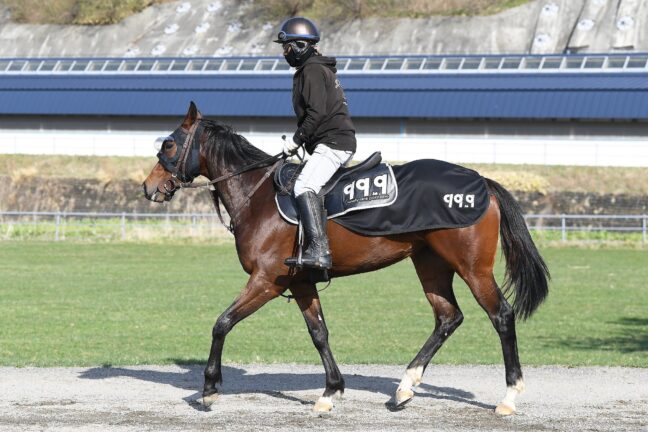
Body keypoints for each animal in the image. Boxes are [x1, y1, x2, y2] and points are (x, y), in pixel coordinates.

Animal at [143, 102, 549, 415]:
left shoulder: (266, 280)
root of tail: (482, 181)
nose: (148, 187)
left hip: (473, 268)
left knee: (501, 315)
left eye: (169, 144)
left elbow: (222, 323)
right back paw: (405, 386)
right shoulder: (300, 282)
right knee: (448, 317)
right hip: (431, 264)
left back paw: (508, 397)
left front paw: (210, 388)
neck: (257, 195)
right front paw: (331, 390)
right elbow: (319, 333)